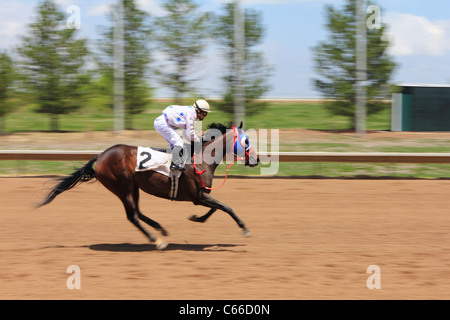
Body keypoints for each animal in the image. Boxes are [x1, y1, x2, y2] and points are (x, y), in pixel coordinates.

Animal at [40, 122, 258, 250]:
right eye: (246, 140)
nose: (256, 159)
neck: (201, 158)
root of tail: (100, 156)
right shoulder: (198, 196)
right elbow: (226, 207)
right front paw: (245, 229)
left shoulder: (202, 195)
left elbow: (217, 208)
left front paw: (197, 218)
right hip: (122, 186)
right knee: (132, 215)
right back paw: (156, 240)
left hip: (133, 187)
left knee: (137, 212)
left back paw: (161, 230)